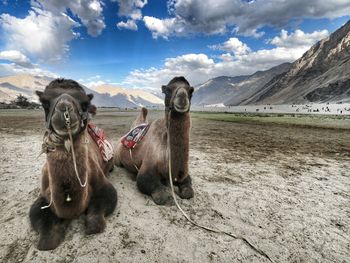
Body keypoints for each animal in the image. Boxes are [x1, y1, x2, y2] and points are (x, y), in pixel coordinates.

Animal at [30, 79, 117, 252]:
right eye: (44, 102)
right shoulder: (43, 196)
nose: (65, 110)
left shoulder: (104, 187)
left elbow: (95, 224)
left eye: (85, 103)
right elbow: (46, 241)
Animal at [115, 77, 194, 205]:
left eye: (191, 90)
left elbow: (188, 192)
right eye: (167, 90)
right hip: (117, 158)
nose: (182, 97)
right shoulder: (147, 168)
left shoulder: (182, 174)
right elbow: (161, 195)